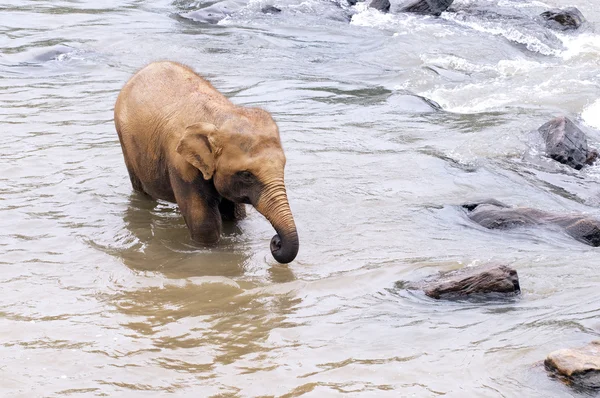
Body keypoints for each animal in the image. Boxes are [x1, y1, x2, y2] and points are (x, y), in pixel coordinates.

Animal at [113, 61, 298, 264]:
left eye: (284, 166)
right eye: (247, 174)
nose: (275, 242)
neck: (220, 117)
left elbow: (236, 214)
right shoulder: (182, 164)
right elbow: (204, 225)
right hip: (126, 144)